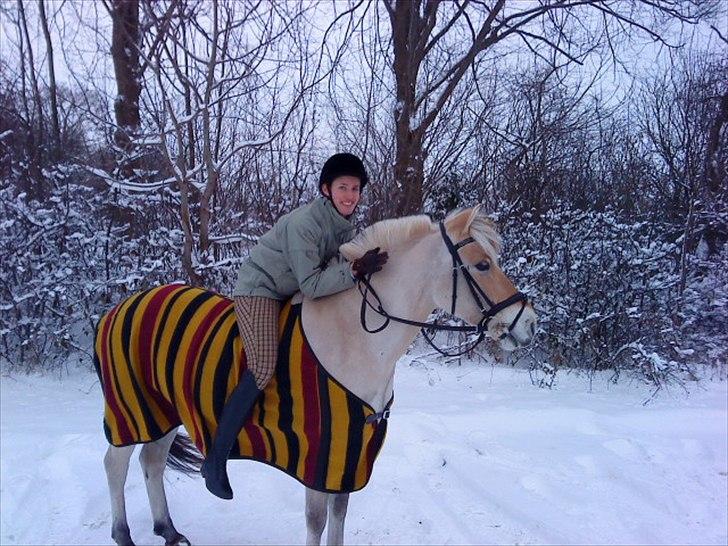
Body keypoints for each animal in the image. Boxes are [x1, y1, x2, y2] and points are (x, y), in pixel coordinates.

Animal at [94, 205, 536, 544]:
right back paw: (123, 534)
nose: (529, 323)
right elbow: (317, 521)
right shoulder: (319, 454)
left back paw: (168, 530)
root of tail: (117, 309)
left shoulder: (349, 457)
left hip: (162, 410)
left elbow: (339, 516)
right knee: (115, 466)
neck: (354, 336)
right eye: (483, 264)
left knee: (151, 461)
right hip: (131, 408)